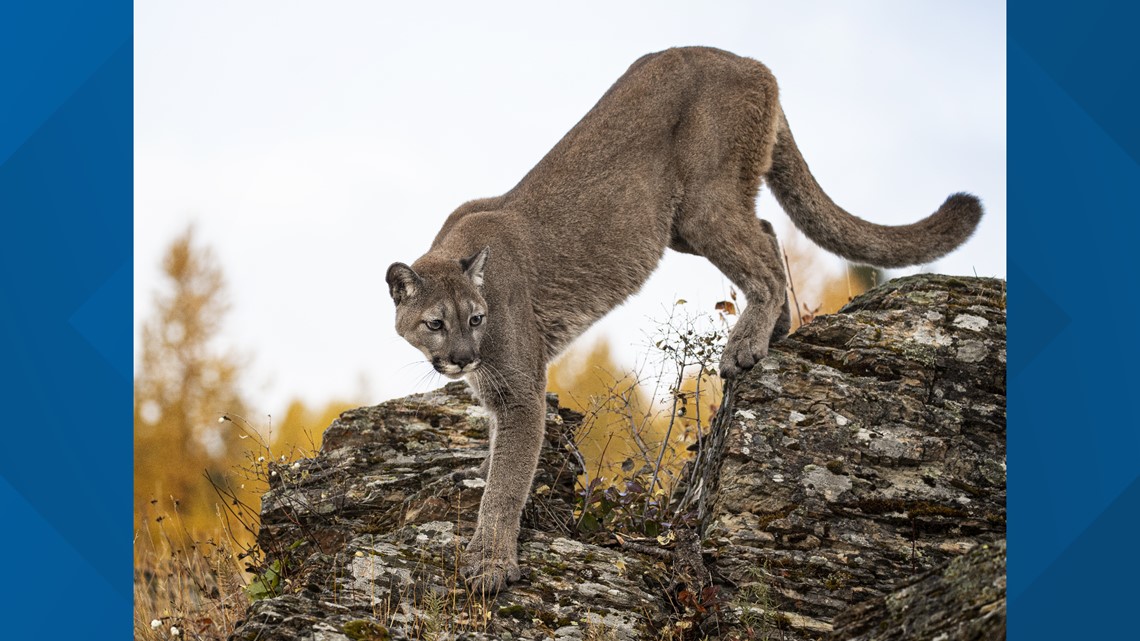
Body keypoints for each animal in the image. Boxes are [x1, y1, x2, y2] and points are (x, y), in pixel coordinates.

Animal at [387, 47, 984, 593]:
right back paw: (778, 329)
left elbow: (508, 481)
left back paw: (747, 344)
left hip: (703, 203)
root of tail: (750, 61)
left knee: (764, 260)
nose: (462, 358)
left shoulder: (519, 392)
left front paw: (490, 562)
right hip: (683, 223)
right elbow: (496, 458)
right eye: (436, 324)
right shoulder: (495, 393)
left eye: (477, 318)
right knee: (768, 231)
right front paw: (481, 499)